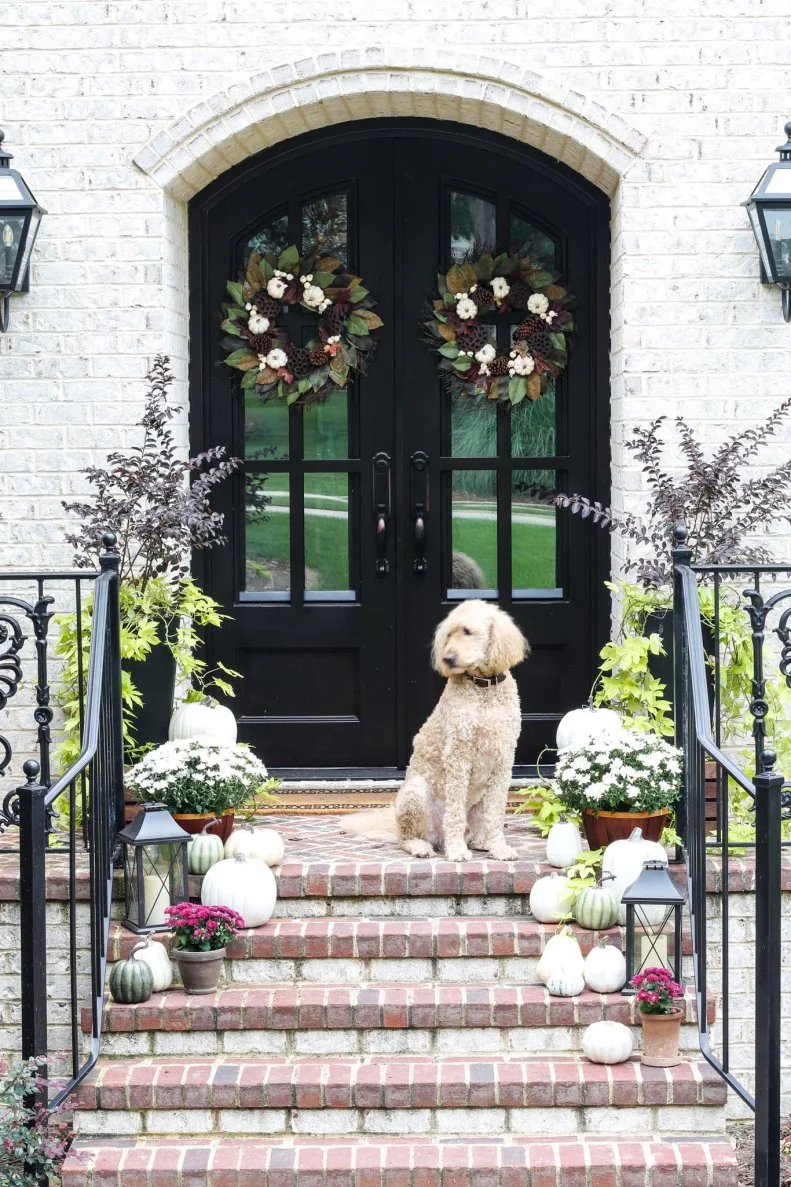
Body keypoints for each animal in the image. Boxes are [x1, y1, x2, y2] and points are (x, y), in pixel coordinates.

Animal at [342, 602, 527, 864]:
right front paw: (457, 851)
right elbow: (455, 813)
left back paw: (482, 843)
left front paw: (499, 848)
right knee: (407, 837)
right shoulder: (458, 757)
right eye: (448, 634)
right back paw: (424, 846)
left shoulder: (503, 759)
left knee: (475, 830)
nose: (447, 658)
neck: (484, 688)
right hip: (415, 793)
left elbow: (496, 814)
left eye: (467, 631)